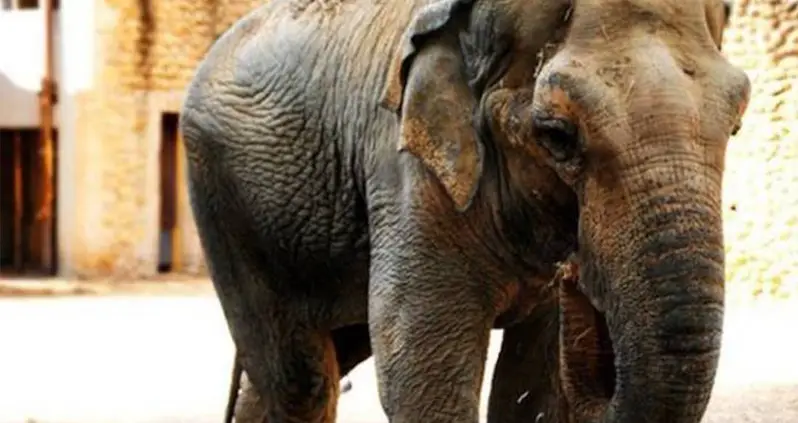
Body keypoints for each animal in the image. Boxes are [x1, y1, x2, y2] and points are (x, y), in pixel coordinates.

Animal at [179, 0, 750, 422]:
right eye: (557, 135)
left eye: (737, 124)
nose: (573, 274)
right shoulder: (410, 170)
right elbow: (423, 370)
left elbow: (533, 386)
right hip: (223, 198)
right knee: (300, 380)